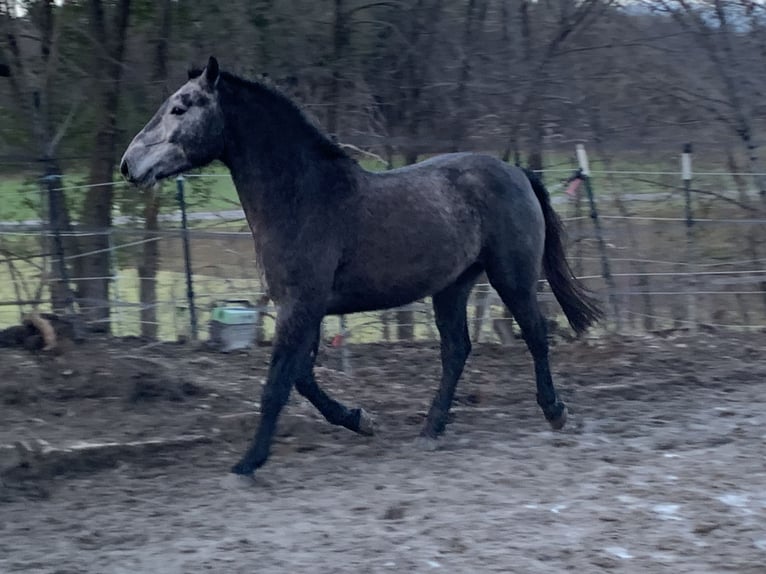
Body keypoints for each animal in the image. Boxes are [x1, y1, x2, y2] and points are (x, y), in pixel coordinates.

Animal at [120, 57, 604, 482]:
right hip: (452, 286)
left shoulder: (301, 305)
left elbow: (277, 384)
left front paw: (247, 464)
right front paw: (360, 419)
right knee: (456, 351)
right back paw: (431, 430)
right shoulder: (305, 308)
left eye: (180, 107)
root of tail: (517, 172)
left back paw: (554, 412)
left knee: (535, 335)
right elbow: (301, 378)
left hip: (512, 276)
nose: (128, 165)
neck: (305, 199)